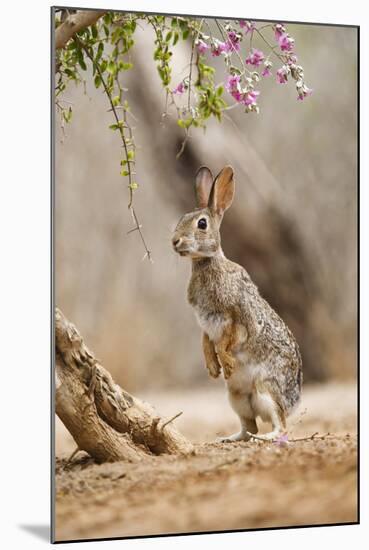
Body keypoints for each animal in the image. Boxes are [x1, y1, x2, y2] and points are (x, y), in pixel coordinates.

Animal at [171, 166, 300, 442]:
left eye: (201, 224)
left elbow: (226, 341)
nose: (175, 241)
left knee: (280, 425)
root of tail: (295, 400)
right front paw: (212, 369)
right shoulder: (205, 323)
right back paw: (227, 438)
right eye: (181, 218)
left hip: (266, 390)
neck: (207, 262)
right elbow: (206, 342)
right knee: (248, 427)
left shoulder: (237, 318)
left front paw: (226, 363)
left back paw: (266, 438)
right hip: (236, 398)